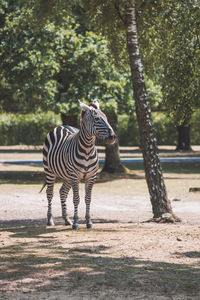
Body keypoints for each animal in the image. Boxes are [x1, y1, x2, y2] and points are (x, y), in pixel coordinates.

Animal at [41, 100, 115, 230]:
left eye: (106, 118)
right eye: (96, 118)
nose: (112, 137)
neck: (87, 150)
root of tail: (61, 126)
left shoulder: (91, 176)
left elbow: (88, 198)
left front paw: (89, 221)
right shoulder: (75, 176)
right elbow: (76, 199)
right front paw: (76, 222)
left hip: (67, 176)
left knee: (62, 192)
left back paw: (66, 219)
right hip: (50, 171)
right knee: (50, 193)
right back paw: (50, 220)